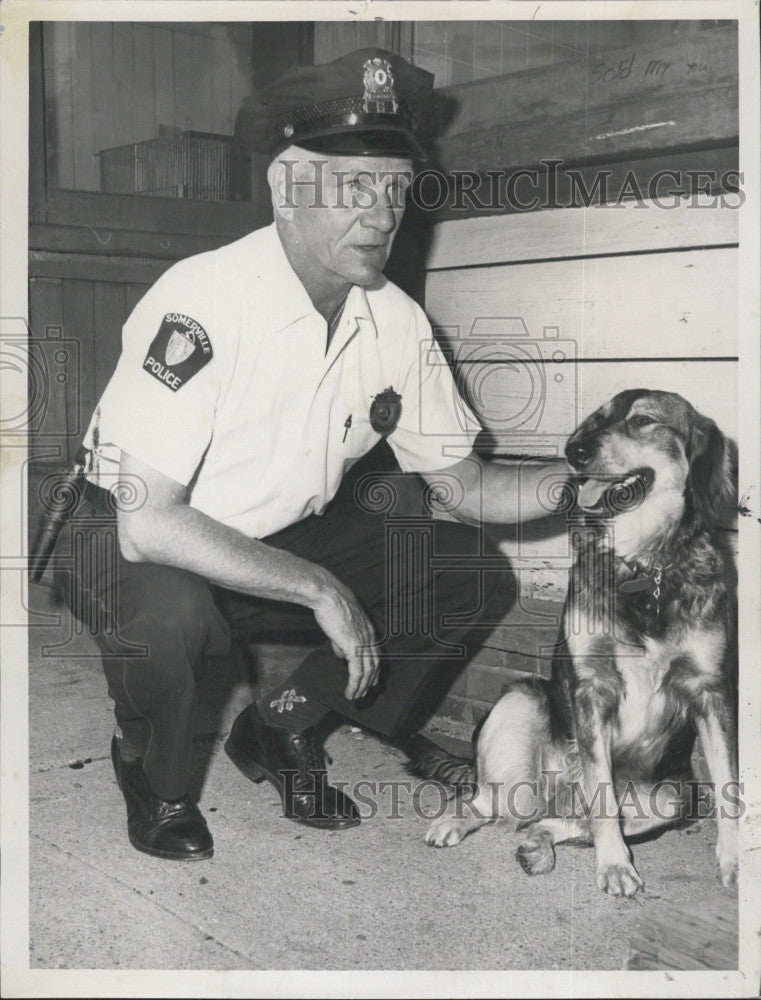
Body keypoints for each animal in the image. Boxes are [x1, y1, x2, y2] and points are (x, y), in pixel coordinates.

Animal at [410, 390, 736, 900]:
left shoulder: (710, 690)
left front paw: (737, 863)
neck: (642, 566)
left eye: (643, 420)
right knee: (493, 801)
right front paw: (615, 866)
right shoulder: (591, 688)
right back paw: (457, 822)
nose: (573, 451)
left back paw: (539, 847)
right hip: (519, 702)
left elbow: (729, 787)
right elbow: (600, 795)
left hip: (673, 797)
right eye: (596, 419)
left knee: (553, 822)